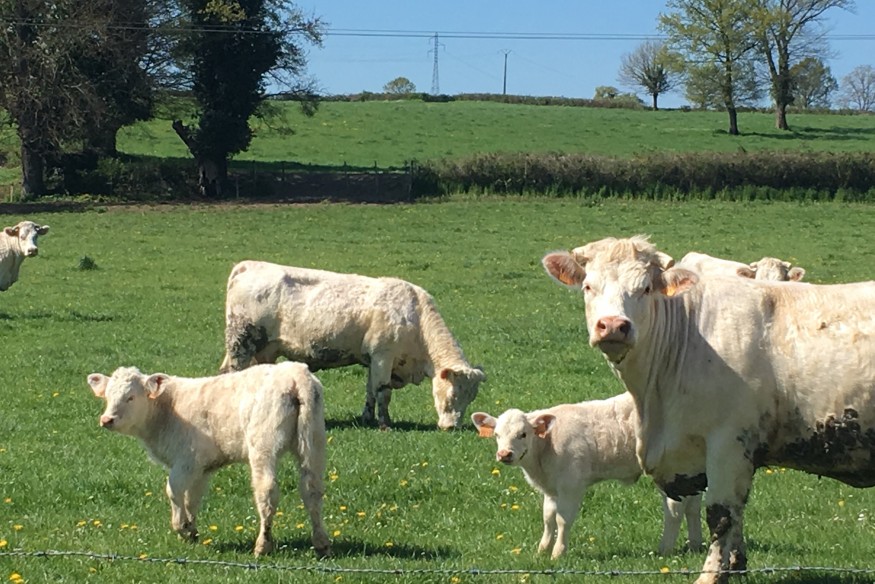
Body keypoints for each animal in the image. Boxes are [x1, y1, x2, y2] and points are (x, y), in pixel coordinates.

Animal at [87, 362, 331, 557]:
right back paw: (321, 543)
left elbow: (173, 491)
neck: (167, 409)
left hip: (263, 445)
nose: (106, 419)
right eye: (108, 396)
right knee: (312, 489)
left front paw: (181, 527)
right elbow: (192, 499)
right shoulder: (202, 468)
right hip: (313, 442)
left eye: (130, 397)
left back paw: (263, 545)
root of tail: (296, 373)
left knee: (267, 491)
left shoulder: (186, 461)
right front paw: (191, 531)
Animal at [219, 260, 486, 430]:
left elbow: (370, 391)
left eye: (470, 398)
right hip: (241, 343)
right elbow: (383, 392)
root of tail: (247, 265)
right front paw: (385, 423)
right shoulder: (383, 356)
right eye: (452, 394)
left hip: (263, 350)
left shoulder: (373, 360)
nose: (451, 427)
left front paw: (367, 418)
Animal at [471, 393, 702, 559]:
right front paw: (542, 550)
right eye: (497, 435)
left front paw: (558, 553)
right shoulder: (552, 489)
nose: (504, 454)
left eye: (523, 434)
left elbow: (562, 519)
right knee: (692, 507)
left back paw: (664, 549)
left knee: (674, 510)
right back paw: (695, 545)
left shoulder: (571, 485)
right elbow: (548, 517)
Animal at [542, 235, 875, 584]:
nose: (613, 326)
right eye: (588, 286)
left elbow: (721, 514)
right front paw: (737, 567)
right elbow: (737, 512)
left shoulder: (727, 442)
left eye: (645, 288)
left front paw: (711, 575)